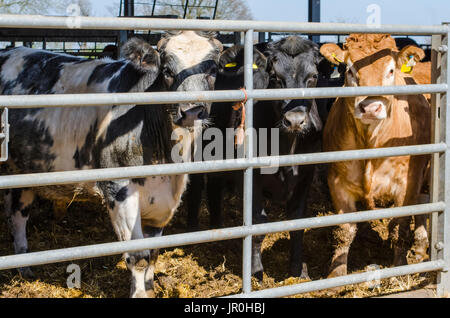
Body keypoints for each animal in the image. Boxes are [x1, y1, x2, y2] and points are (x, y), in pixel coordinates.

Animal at [0, 31, 223, 296]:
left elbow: (154, 252)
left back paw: (24, 268)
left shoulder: (163, 199)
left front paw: (149, 289)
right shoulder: (119, 190)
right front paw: (139, 294)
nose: (191, 112)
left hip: (21, 169)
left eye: (213, 70)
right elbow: (138, 257)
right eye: (167, 71)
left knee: (17, 214)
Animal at [322, 34, 430, 278]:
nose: (370, 108)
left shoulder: (407, 184)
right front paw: (336, 273)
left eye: (391, 70)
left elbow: (399, 227)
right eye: (349, 71)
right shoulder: (337, 182)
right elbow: (344, 231)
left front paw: (399, 267)